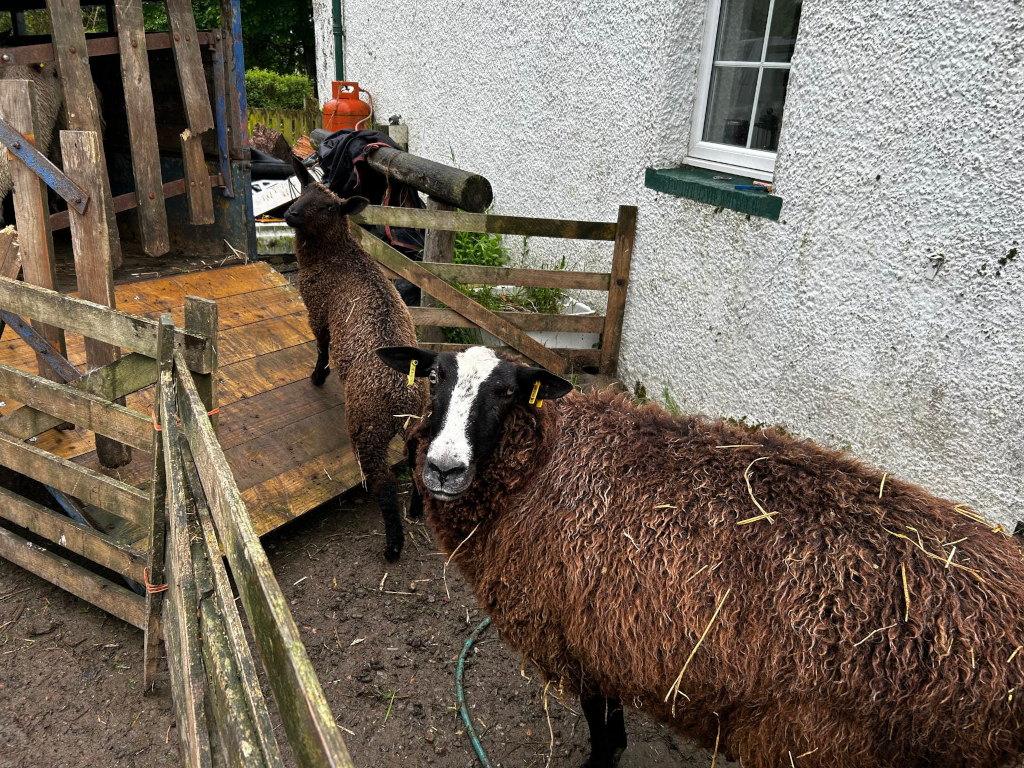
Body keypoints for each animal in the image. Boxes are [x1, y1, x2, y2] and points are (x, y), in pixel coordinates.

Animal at [284, 159, 427, 561]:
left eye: (328, 207)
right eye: (303, 191)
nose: (289, 213)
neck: (337, 256)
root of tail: (404, 396)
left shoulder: (317, 310)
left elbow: (321, 346)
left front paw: (317, 377)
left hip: (368, 426)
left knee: (384, 484)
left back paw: (393, 546)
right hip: (415, 429)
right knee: (418, 469)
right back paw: (417, 511)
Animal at [377, 344, 1024, 768]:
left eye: (507, 392)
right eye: (433, 377)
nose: (443, 469)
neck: (539, 465)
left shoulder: (577, 638)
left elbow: (599, 724)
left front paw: (600, 761)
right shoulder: (605, 640)